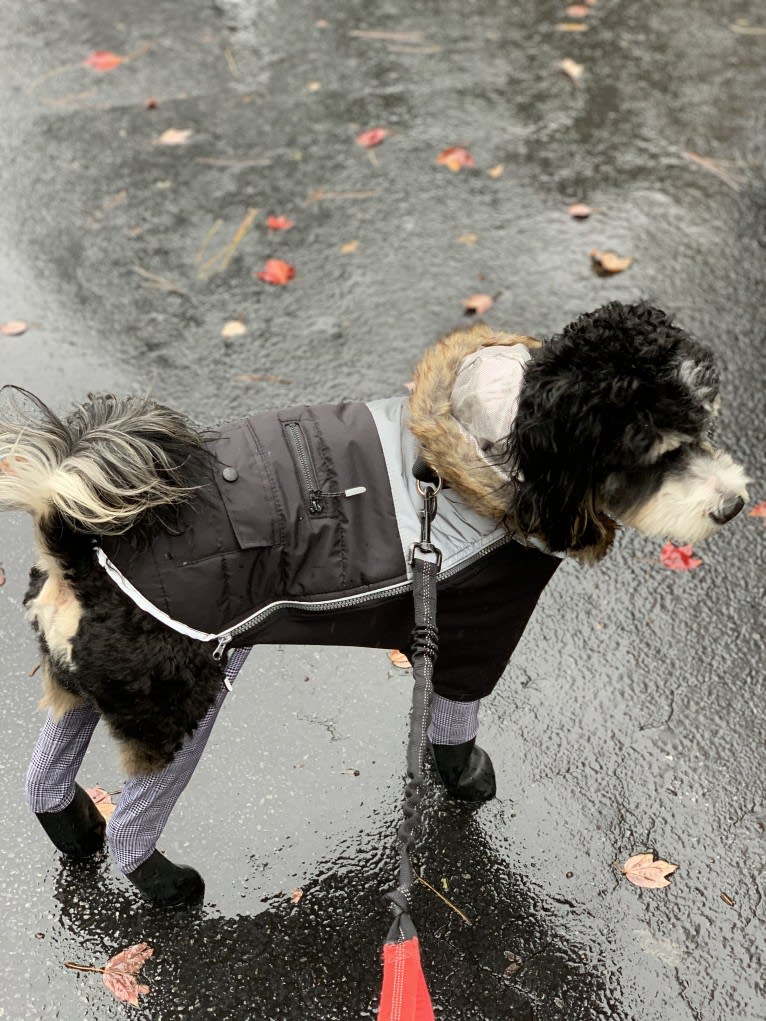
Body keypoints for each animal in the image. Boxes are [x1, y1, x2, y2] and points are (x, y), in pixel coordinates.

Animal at [0, 300, 751, 902]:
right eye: (654, 453)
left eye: (703, 426)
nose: (734, 504)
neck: (496, 445)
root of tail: (78, 556)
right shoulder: (475, 632)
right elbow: (454, 725)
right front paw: (467, 779)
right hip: (178, 702)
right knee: (136, 813)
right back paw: (165, 884)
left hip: (87, 687)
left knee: (47, 772)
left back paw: (74, 828)